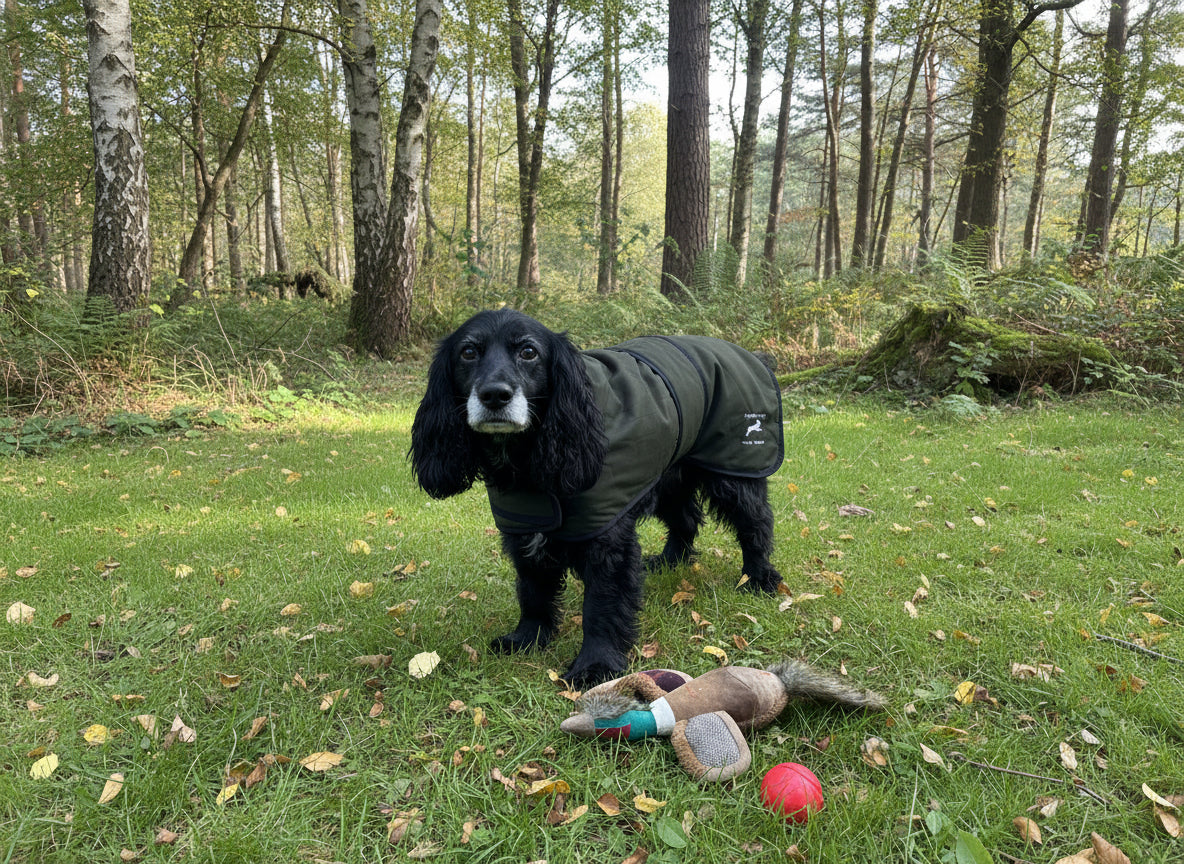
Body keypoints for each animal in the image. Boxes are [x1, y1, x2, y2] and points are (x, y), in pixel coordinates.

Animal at [410, 309, 785, 686]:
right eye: (468, 352)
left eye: (529, 352)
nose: (494, 395)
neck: (526, 457)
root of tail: (755, 355)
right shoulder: (524, 528)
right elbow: (532, 591)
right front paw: (527, 637)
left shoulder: (608, 542)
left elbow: (601, 605)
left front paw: (596, 663)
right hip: (668, 475)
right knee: (686, 520)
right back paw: (669, 561)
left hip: (733, 474)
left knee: (756, 524)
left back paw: (759, 578)